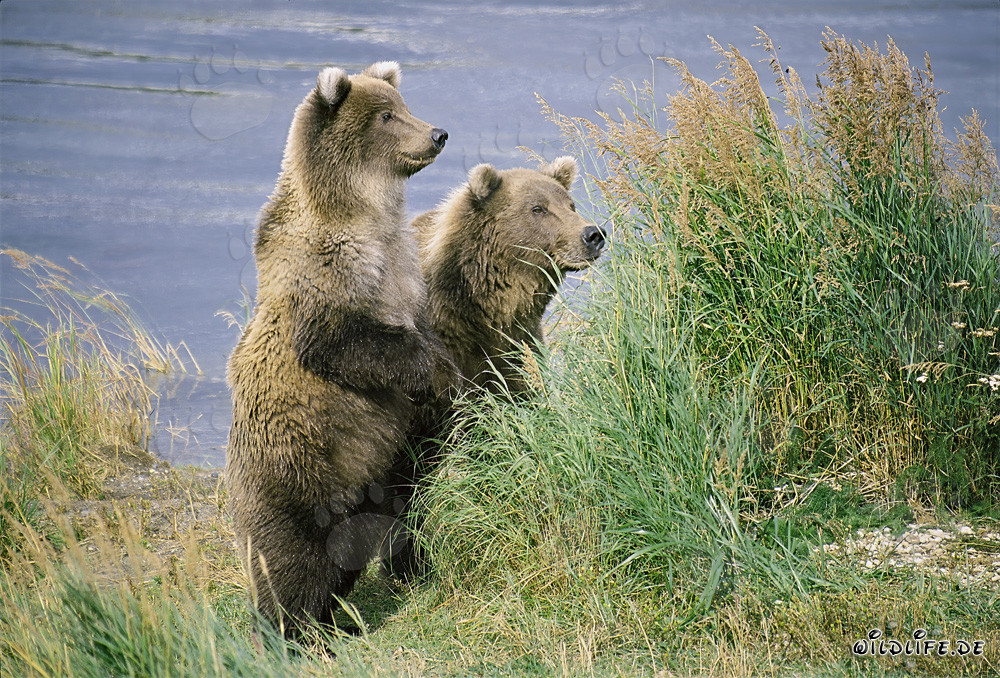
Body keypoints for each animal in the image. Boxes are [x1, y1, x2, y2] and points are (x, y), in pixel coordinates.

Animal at [224, 61, 456, 634]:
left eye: (404, 104)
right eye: (386, 116)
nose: (437, 133)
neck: (363, 217)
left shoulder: (405, 271)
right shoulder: (323, 277)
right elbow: (344, 344)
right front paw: (432, 372)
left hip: (366, 481)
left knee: (357, 544)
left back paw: (340, 617)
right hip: (296, 475)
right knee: (291, 561)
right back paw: (293, 627)